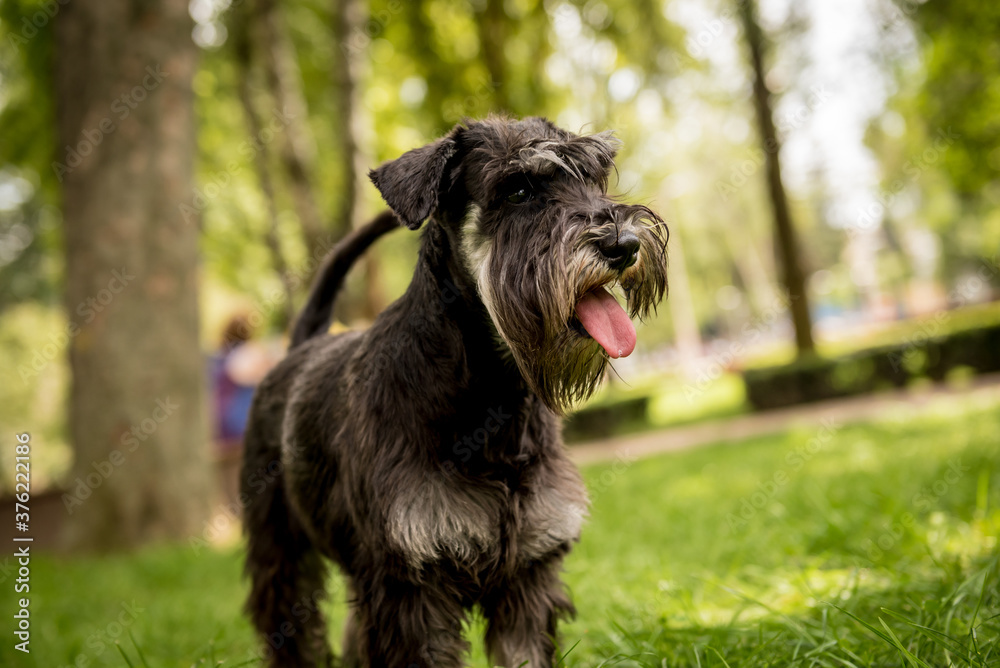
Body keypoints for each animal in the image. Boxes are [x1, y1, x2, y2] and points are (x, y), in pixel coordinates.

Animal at [238, 117, 668, 664]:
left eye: (595, 176)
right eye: (518, 189)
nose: (624, 244)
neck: (492, 401)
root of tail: (301, 348)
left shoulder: (528, 572)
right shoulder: (410, 586)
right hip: (281, 549)